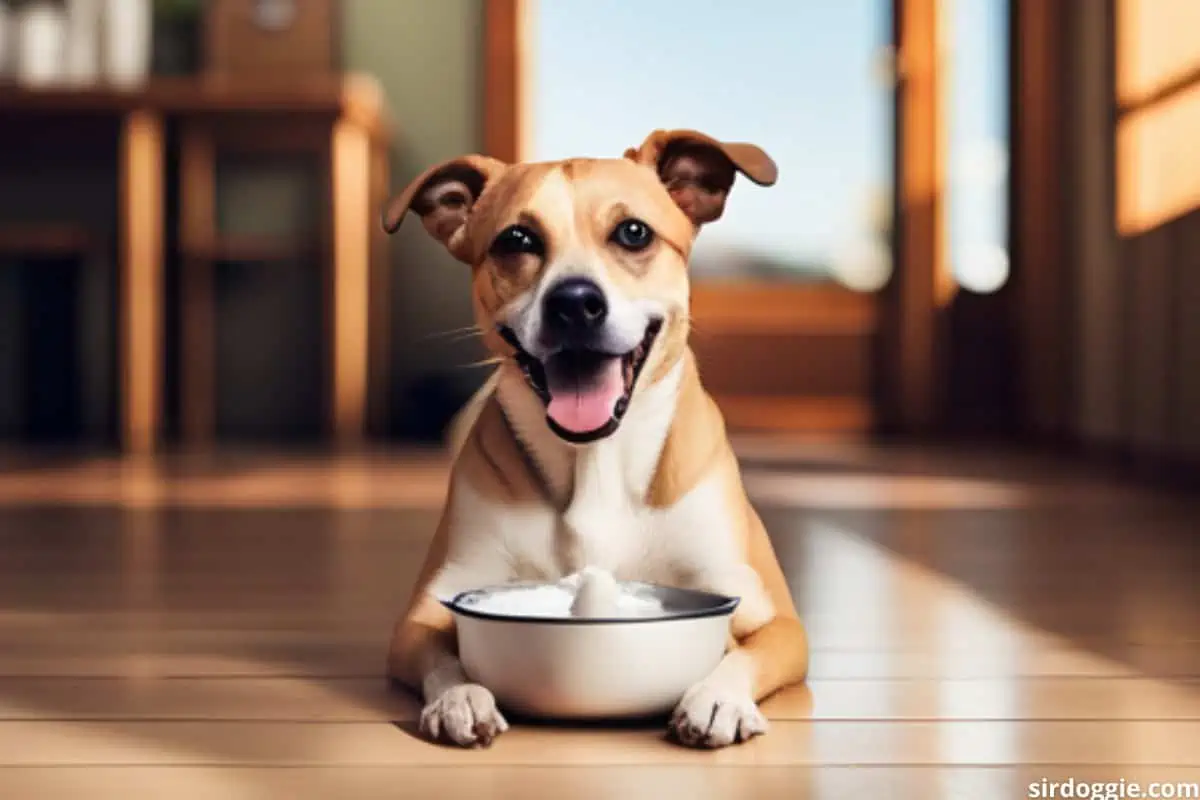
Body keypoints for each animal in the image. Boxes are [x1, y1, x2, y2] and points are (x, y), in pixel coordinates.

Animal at [381, 128, 806, 748]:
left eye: (634, 232)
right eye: (516, 239)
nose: (575, 302)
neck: (595, 460)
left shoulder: (773, 618)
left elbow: (743, 653)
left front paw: (716, 698)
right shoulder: (424, 612)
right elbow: (443, 651)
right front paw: (461, 697)